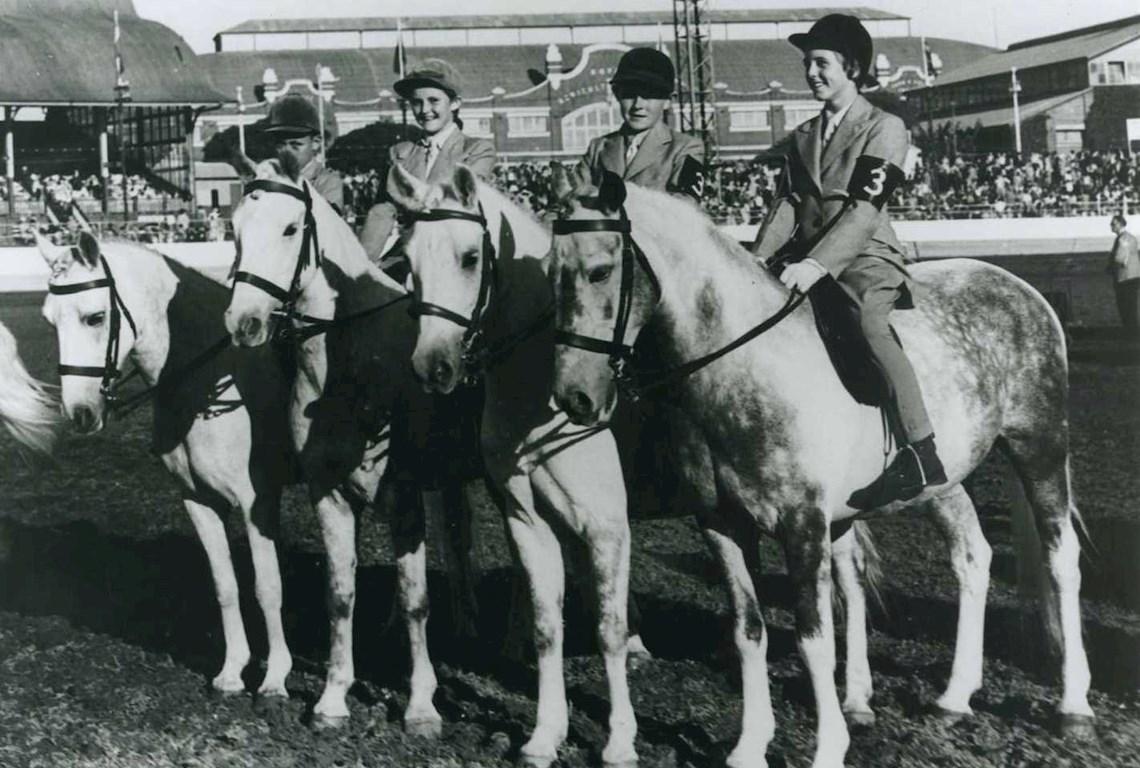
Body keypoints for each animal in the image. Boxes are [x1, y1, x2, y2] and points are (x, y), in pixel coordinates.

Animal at [39, 233, 296, 701]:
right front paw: (232, 671)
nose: (80, 414)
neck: (212, 379)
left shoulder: (259, 502)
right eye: (51, 321)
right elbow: (225, 584)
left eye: (95, 317)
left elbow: (267, 586)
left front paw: (274, 678)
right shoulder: (198, 500)